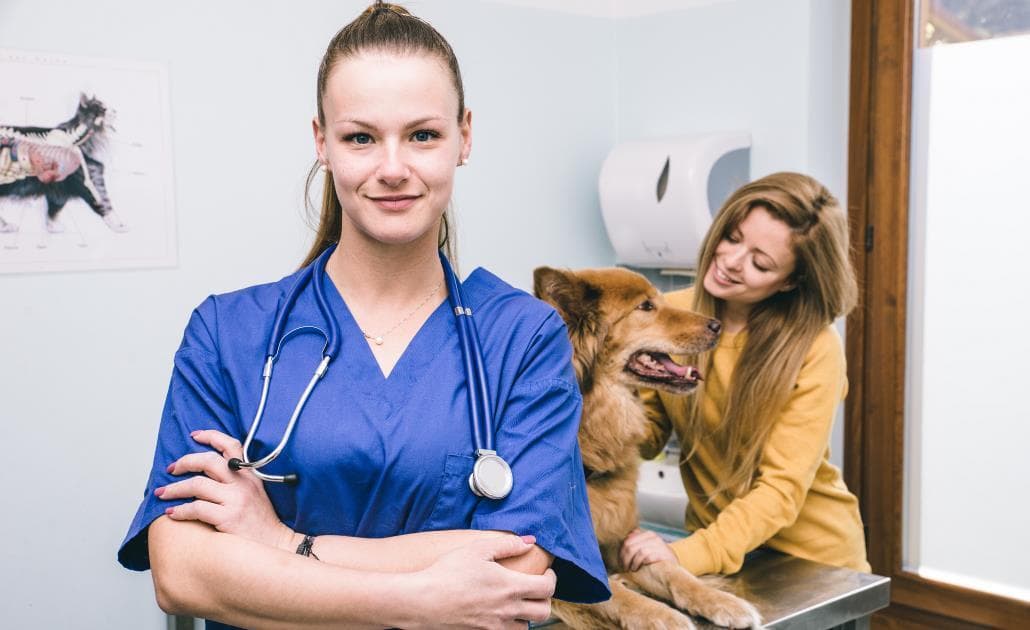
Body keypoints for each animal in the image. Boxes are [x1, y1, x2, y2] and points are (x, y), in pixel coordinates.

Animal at [535, 267, 762, 630]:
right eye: (645, 307)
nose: (717, 325)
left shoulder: (624, 540)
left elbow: (672, 571)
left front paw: (722, 601)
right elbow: (615, 594)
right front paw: (664, 617)